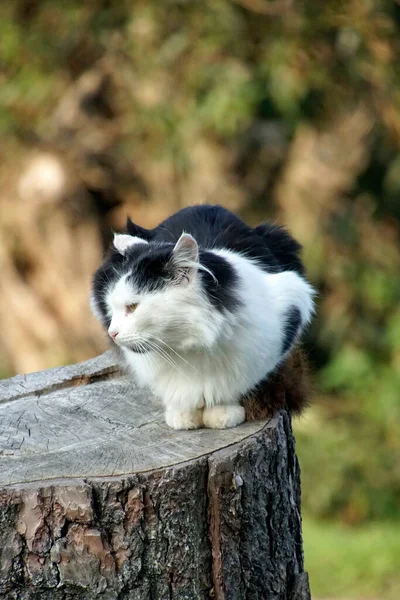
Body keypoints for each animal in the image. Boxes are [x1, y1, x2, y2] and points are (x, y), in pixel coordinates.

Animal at [91, 204, 316, 428]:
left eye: (132, 307)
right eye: (113, 305)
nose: (112, 333)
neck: (190, 347)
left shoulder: (288, 307)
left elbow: (232, 386)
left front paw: (222, 413)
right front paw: (182, 414)